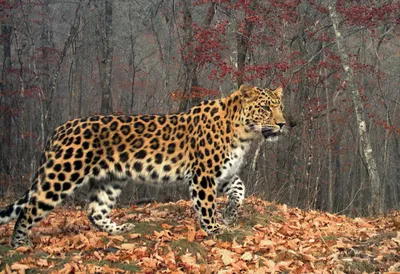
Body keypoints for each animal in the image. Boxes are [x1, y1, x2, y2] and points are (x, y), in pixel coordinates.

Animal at [1, 84, 286, 247]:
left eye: (280, 106)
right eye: (265, 108)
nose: (283, 123)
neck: (245, 133)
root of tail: (60, 129)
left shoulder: (223, 173)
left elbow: (240, 189)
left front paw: (230, 213)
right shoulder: (203, 174)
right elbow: (206, 205)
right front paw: (215, 229)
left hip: (110, 179)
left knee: (94, 210)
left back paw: (119, 229)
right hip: (63, 174)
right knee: (30, 208)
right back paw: (20, 243)